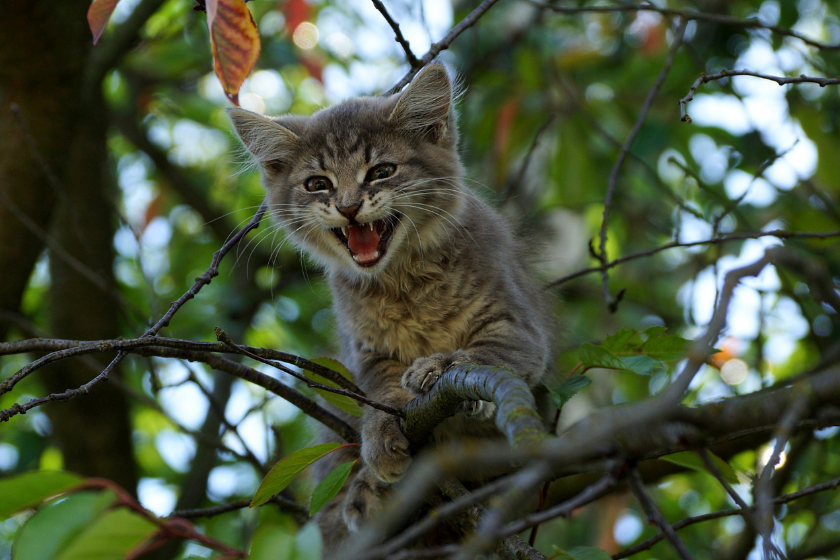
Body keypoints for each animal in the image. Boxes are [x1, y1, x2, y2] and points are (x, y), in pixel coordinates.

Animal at [230, 64, 556, 552]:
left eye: (380, 172)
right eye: (317, 184)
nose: (348, 207)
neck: (404, 284)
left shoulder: (517, 327)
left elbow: (482, 355)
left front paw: (437, 366)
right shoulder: (365, 353)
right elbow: (380, 394)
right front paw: (380, 439)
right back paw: (366, 494)